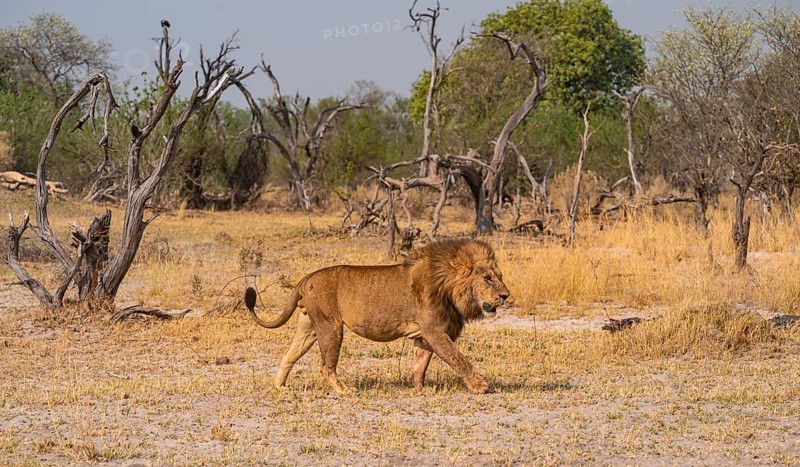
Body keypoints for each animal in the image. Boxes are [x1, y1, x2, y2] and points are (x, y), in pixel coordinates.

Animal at [244, 239, 510, 394]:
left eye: (499, 276)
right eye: (487, 278)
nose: (506, 295)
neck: (447, 284)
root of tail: (306, 278)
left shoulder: (424, 335)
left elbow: (421, 363)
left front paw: (419, 388)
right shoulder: (434, 330)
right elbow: (458, 358)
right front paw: (480, 386)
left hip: (309, 326)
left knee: (289, 355)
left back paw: (280, 387)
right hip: (331, 326)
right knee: (325, 367)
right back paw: (345, 390)